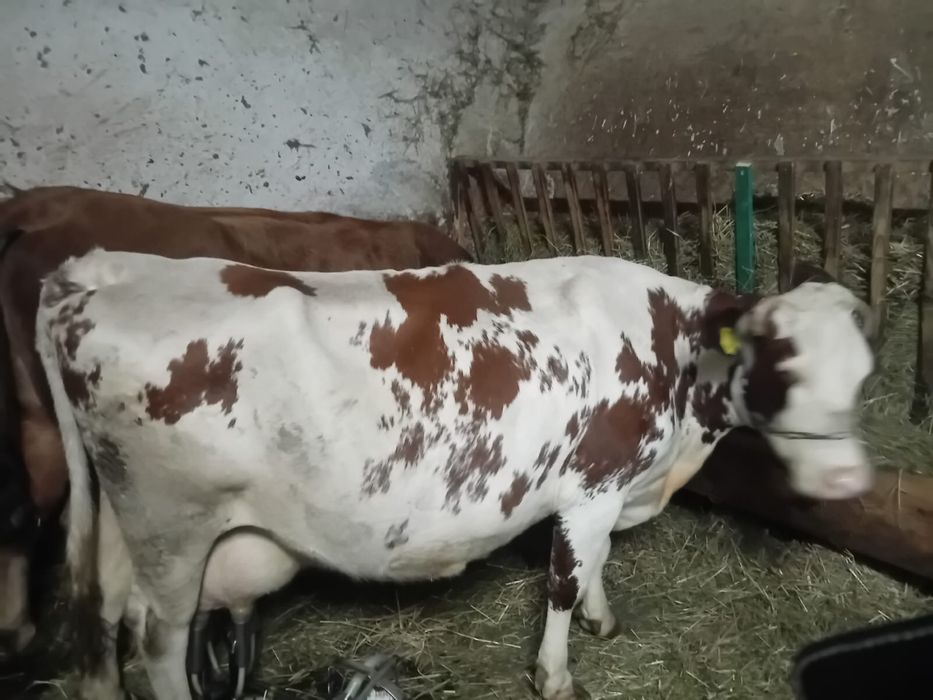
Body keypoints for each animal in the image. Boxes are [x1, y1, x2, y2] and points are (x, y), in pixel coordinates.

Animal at [36, 249, 876, 700]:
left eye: (864, 375)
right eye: (780, 365)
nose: (845, 486)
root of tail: (102, 271)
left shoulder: (606, 490)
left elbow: (596, 565)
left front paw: (602, 620)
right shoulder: (591, 483)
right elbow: (564, 578)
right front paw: (555, 673)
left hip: (124, 522)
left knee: (105, 617)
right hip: (173, 527)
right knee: (157, 637)